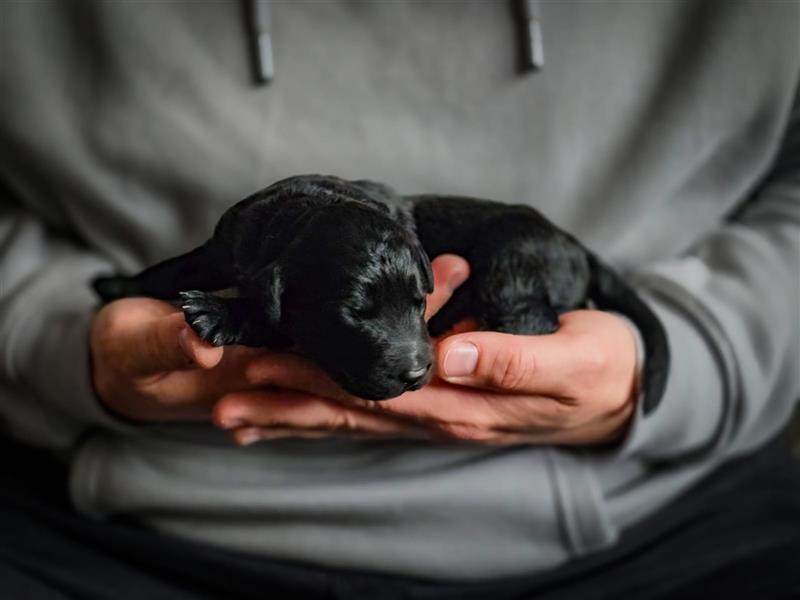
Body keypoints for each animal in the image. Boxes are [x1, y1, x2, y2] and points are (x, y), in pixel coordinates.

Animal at [95, 175, 668, 412]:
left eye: (419, 302)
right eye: (355, 314)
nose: (417, 373)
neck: (302, 213)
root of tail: (576, 245)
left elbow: (266, 316)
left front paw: (217, 312)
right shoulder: (226, 242)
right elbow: (177, 265)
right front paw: (120, 284)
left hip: (514, 258)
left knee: (531, 317)